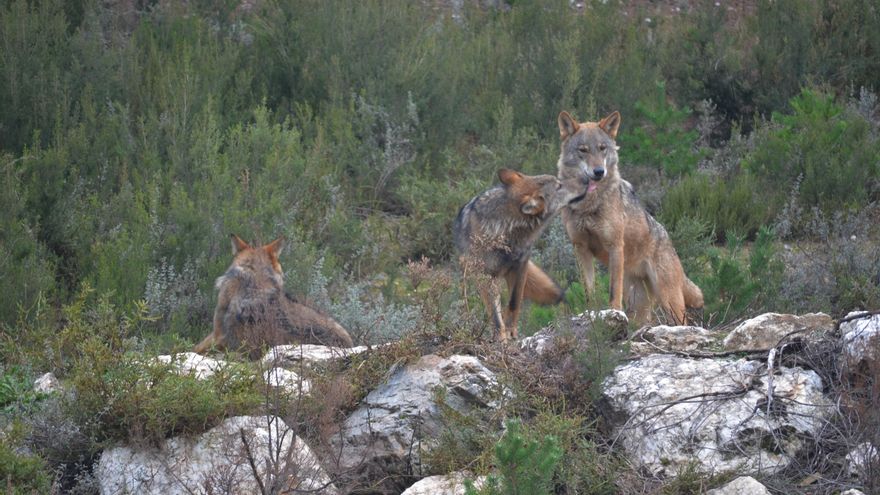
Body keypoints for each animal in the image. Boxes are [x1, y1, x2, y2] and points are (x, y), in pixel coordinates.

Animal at [454, 168, 586, 341]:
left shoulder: (520, 266)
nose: (587, 179)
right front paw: (501, 338)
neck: (505, 230)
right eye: (559, 186)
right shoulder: (485, 275)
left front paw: (511, 331)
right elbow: (495, 316)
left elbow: (514, 302)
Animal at [556, 110, 703, 325]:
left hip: (669, 301)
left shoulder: (615, 246)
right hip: (639, 305)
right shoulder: (581, 249)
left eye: (602, 149)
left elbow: (612, 290)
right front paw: (590, 315)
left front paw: (614, 313)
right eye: (583, 150)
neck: (589, 205)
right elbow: (589, 291)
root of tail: (668, 239)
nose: (599, 172)